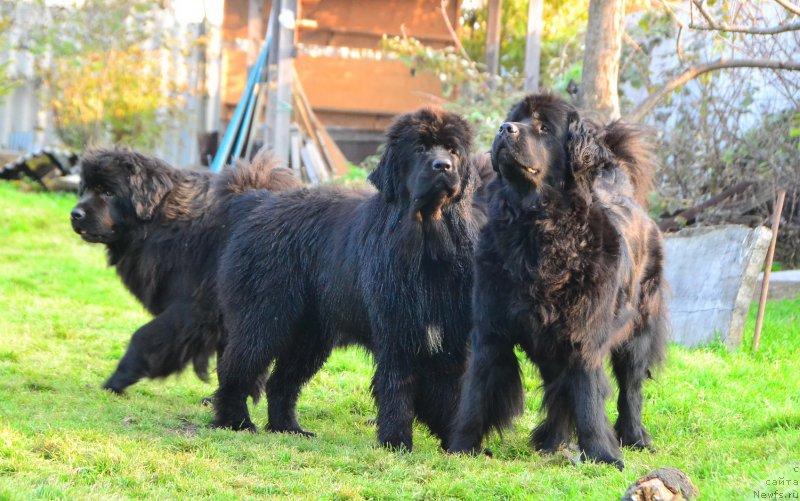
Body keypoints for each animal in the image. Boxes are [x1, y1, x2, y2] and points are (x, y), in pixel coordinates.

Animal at [70, 148, 302, 394]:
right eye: (85, 189)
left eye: (108, 192)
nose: (75, 214)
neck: (161, 222)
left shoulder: (196, 307)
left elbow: (144, 338)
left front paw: (115, 381)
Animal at [212, 106, 484, 450]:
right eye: (420, 148)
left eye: (453, 150)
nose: (443, 166)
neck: (427, 243)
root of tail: (257, 202)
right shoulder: (397, 331)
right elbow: (396, 387)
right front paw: (396, 442)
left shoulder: (450, 335)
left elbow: (451, 394)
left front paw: (459, 446)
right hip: (264, 316)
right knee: (238, 367)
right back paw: (236, 421)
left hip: (310, 335)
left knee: (281, 382)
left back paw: (288, 428)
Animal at [450, 91, 668, 468]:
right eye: (516, 117)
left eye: (544, 128)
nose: (505, 128)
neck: (536, 229)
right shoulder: (490, 330)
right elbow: (475, 394)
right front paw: (462, 447)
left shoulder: (584, 335)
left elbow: (589, 395)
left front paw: (602, 454)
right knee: (559, 390)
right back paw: (554, 441)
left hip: (638, 330)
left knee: (631, 387)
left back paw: (634, 437)